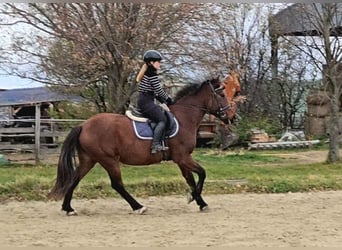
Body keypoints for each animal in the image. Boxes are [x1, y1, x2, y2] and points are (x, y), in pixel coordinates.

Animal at [48, 76, 236, 215]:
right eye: (221, 95)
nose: (232, 117)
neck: (184, 117)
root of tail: (84, 125)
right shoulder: (182, 157)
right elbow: (202, 174)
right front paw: (193, 197)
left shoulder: (182, 159)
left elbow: (190, 179)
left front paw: (200, 202)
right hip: (108, 160)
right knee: (117, 184)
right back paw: (138, 207)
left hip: (89, 159)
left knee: (75, 178)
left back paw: (68, 208)